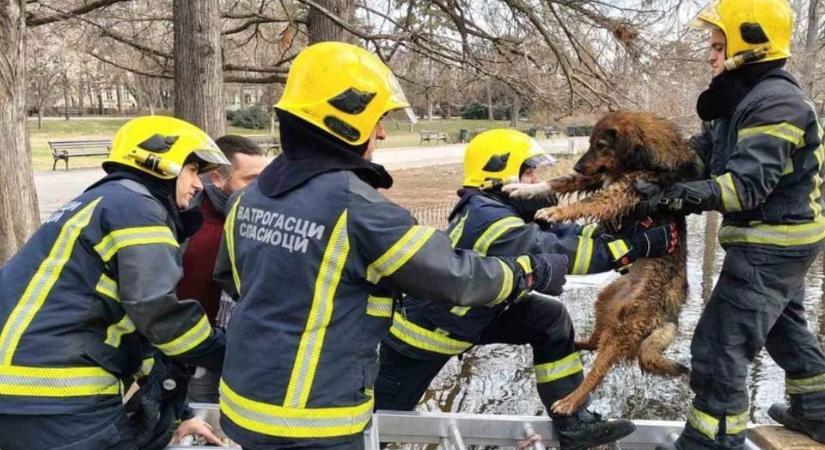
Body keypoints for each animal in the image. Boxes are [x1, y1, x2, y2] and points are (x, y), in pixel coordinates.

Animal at [512, 111, 700, 414]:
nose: (578, 165)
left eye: (601, 145)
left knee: (598, 372)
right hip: (606, 299)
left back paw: (571, 400)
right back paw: (575, 343)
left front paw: (555, 211)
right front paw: (522, 188)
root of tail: (671, 314)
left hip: (625, 329)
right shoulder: (599, 176)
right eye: (589, 143)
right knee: (593, 343)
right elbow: (560, 181)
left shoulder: (622, 191)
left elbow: (587, 203)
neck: (645, 158)